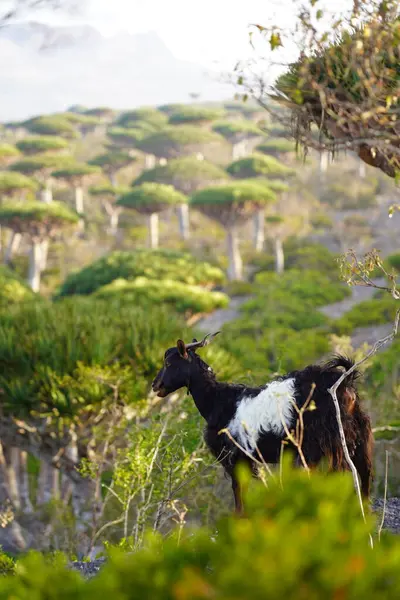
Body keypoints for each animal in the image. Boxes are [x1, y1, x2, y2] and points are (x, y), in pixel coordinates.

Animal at [152, 332, 374, 510]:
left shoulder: (235, 459)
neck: (217, 401)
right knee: (364, 475)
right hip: (357, 436)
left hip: (325, 442)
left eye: (169, 363)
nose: (156, 385)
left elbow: (239, 496)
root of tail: (345, 381)